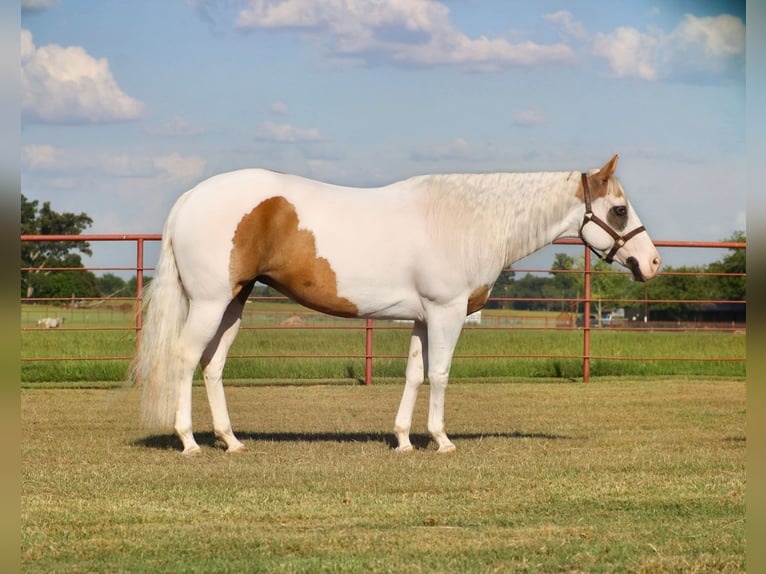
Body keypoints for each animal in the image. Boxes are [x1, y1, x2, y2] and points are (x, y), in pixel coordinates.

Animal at [132, 154, 661, 455]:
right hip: (210, 302)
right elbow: (440, 374)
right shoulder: (447, 312)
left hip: (233, 305)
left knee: (213, 365)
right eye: (619, 209)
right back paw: (189, 442)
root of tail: (191, 197)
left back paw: (231, 441)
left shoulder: (424, 317)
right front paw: (441, 441)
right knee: (185, 359)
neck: (467, 220)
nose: (652, 262)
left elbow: (414, 374)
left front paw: (405, 440)